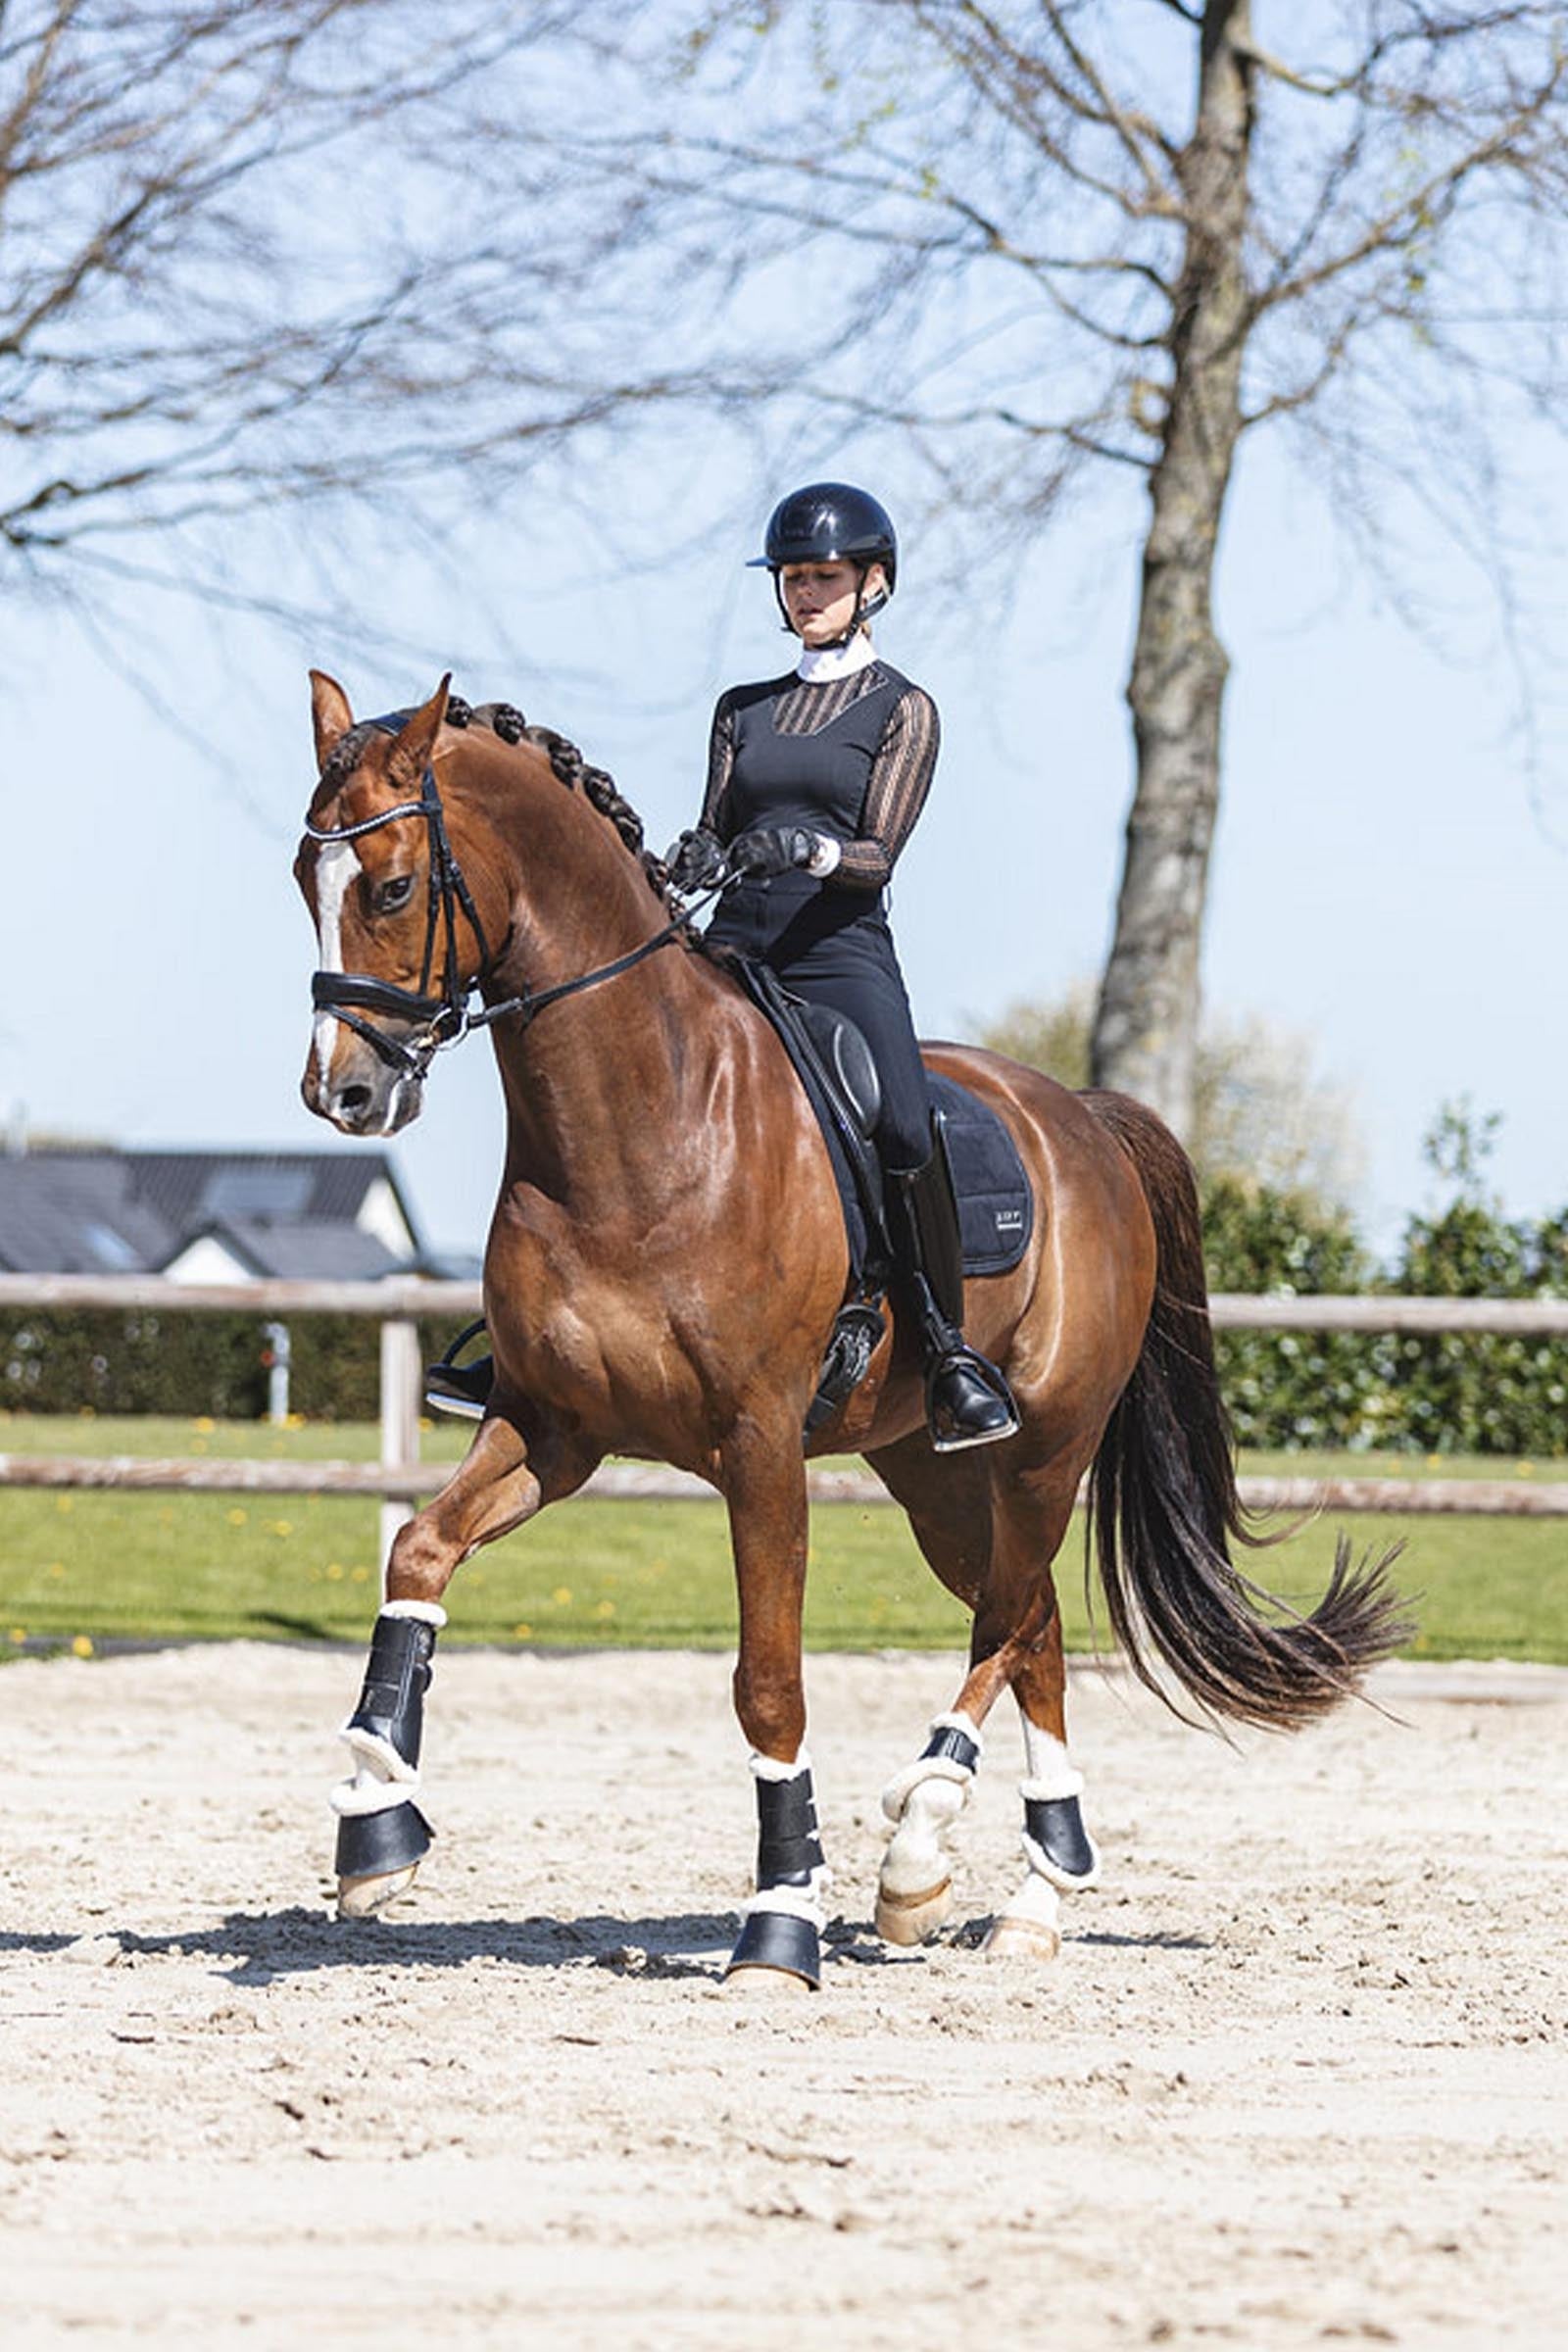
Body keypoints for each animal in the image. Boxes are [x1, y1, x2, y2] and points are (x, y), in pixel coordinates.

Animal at [294, 673, 1407, 1985]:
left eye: (392, 886)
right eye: (302, 878)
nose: (344, 1093)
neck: (644, 1120)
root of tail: (1083, 1116)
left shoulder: (759, 1447)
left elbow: (769, 1685)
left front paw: (779, 1919)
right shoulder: (550, 1429)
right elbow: (416, 1554)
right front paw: (377, 1822)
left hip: (1044, 1446)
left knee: (1014, 1615)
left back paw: (941, 1851)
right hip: (930, 1469)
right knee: (1029, 1619)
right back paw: (1011, 1889)